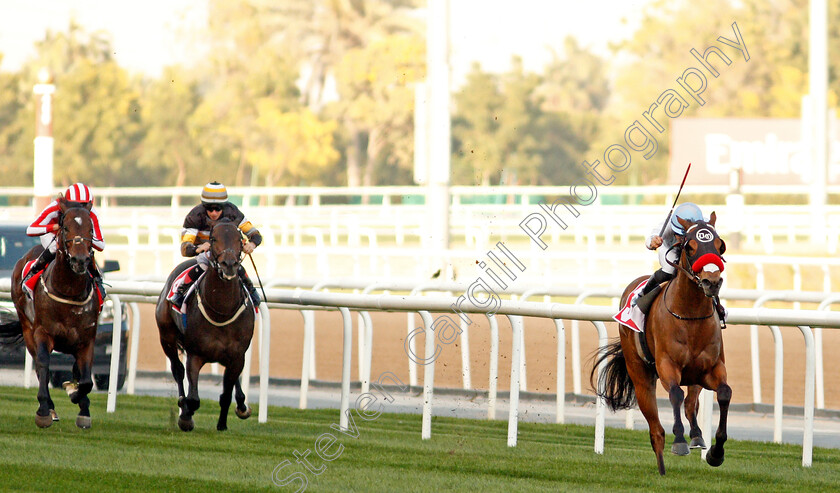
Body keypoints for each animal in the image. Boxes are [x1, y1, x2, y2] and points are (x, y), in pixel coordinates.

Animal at [9, 196, 100, 426]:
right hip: (27, 327)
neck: (69, 291)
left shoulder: (86, 339)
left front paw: (78, 400)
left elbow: (86, 380)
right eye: (65, 227)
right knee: (40, 366)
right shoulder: (43, 332)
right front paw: (44, 409)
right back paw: (49, 408)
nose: (80, 260)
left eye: (91, 229)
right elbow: (43, 365)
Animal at [154, 219, 253, 430]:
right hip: (166, 337)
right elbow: (193, 399)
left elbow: (226, 394)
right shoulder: (195, 354)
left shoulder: (237, 355)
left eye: (239, 239)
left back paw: (242, 405)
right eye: (214, 238)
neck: (222, 311)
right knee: (177, 370)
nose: (229, 265)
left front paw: (222, 424)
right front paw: (185, 417)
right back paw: (182, 404)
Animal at [592, 213, 728, 474]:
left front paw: (716, 453)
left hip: (693, 376)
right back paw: (662, 467)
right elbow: (675, 394)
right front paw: (679, 442)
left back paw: (697, 437)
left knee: (690, 403)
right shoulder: (667, 366)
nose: (712, 281)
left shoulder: (710, 369)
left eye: (719, 245)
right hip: (640, 376)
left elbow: (724, 393)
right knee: (656, 430)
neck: (690, 316)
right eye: (690, 246)